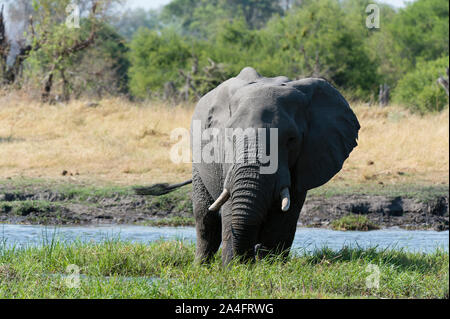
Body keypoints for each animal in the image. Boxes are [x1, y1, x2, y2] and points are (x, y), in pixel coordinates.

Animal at [135, 68, 360, 268]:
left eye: (291, 139)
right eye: (230, 135)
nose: (245, 262)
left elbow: (285, 216)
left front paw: (269, 267)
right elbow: (228, 206)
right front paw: (234, 269)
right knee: (205, 219)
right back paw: (200, 267)